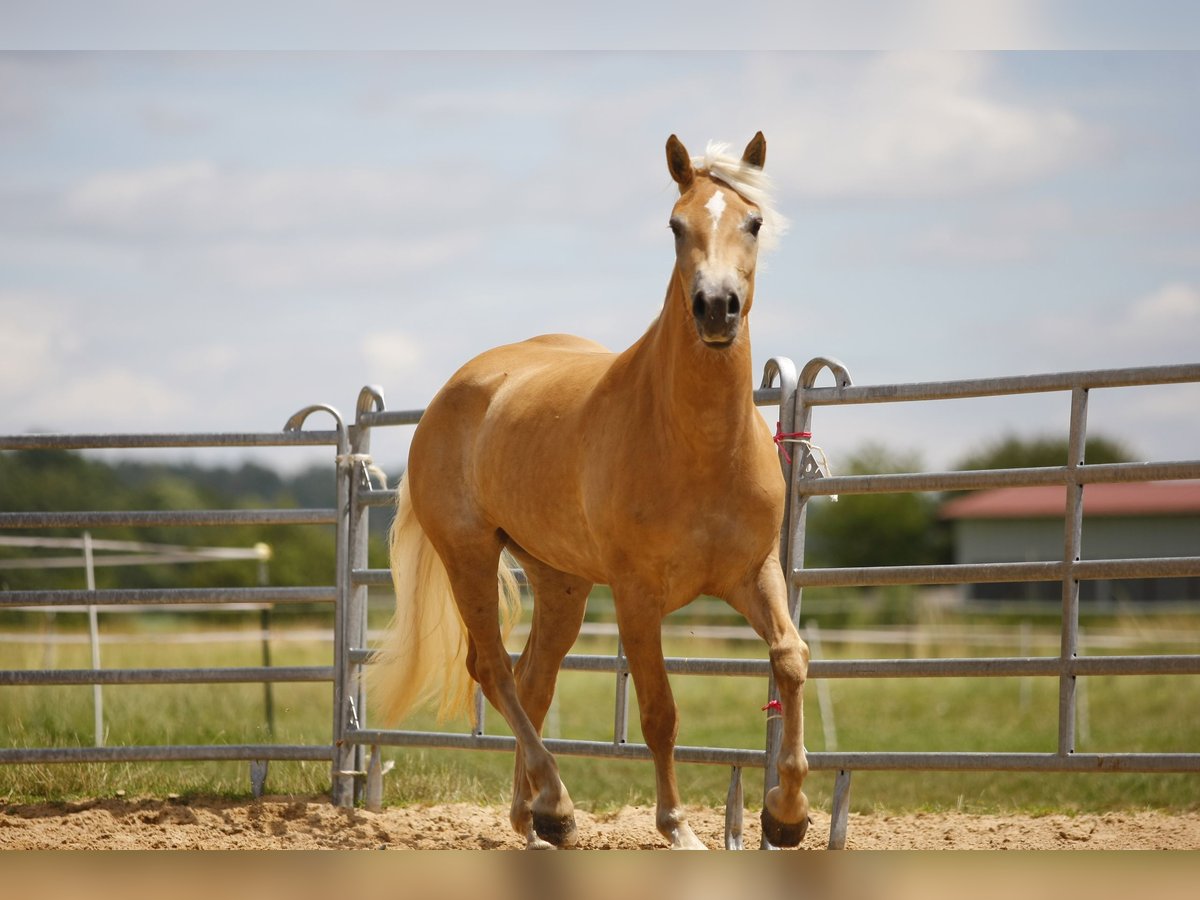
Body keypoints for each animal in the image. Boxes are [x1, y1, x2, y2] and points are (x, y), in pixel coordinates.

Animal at [372, 133, 816, 854]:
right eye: (676, 225)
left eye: (753, 222)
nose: (716, 306)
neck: (698, 444)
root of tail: (456, 389)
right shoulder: (637, 596)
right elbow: (659, 710)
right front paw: (677, 827)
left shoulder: (755, 574)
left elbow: (791, 659)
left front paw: (787, 814)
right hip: (470, 555)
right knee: (493, 669)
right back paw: (556, 806)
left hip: (561, 582)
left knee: (533, 681)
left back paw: (531, 817)